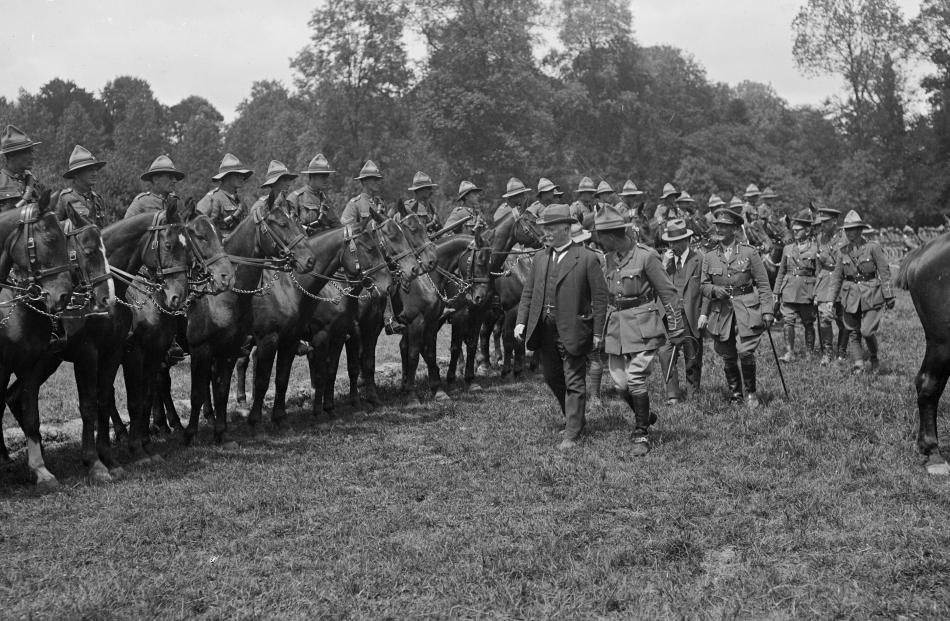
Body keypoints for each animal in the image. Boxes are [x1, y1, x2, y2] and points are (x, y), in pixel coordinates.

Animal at [185, 194, 316, 446]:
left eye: (295, 221)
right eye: (282, 224)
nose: (309, 260)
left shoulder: (235, 348)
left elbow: (228, 388)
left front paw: (223, 432)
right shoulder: (205, 348)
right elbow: (259, 380)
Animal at [249, 222, 394, 432]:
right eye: (370, 249)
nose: (388, 285)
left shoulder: (339, 335)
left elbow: (331, 371)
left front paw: (330, 409)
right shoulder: (322, 337)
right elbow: (320, 374)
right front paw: (318, 412)